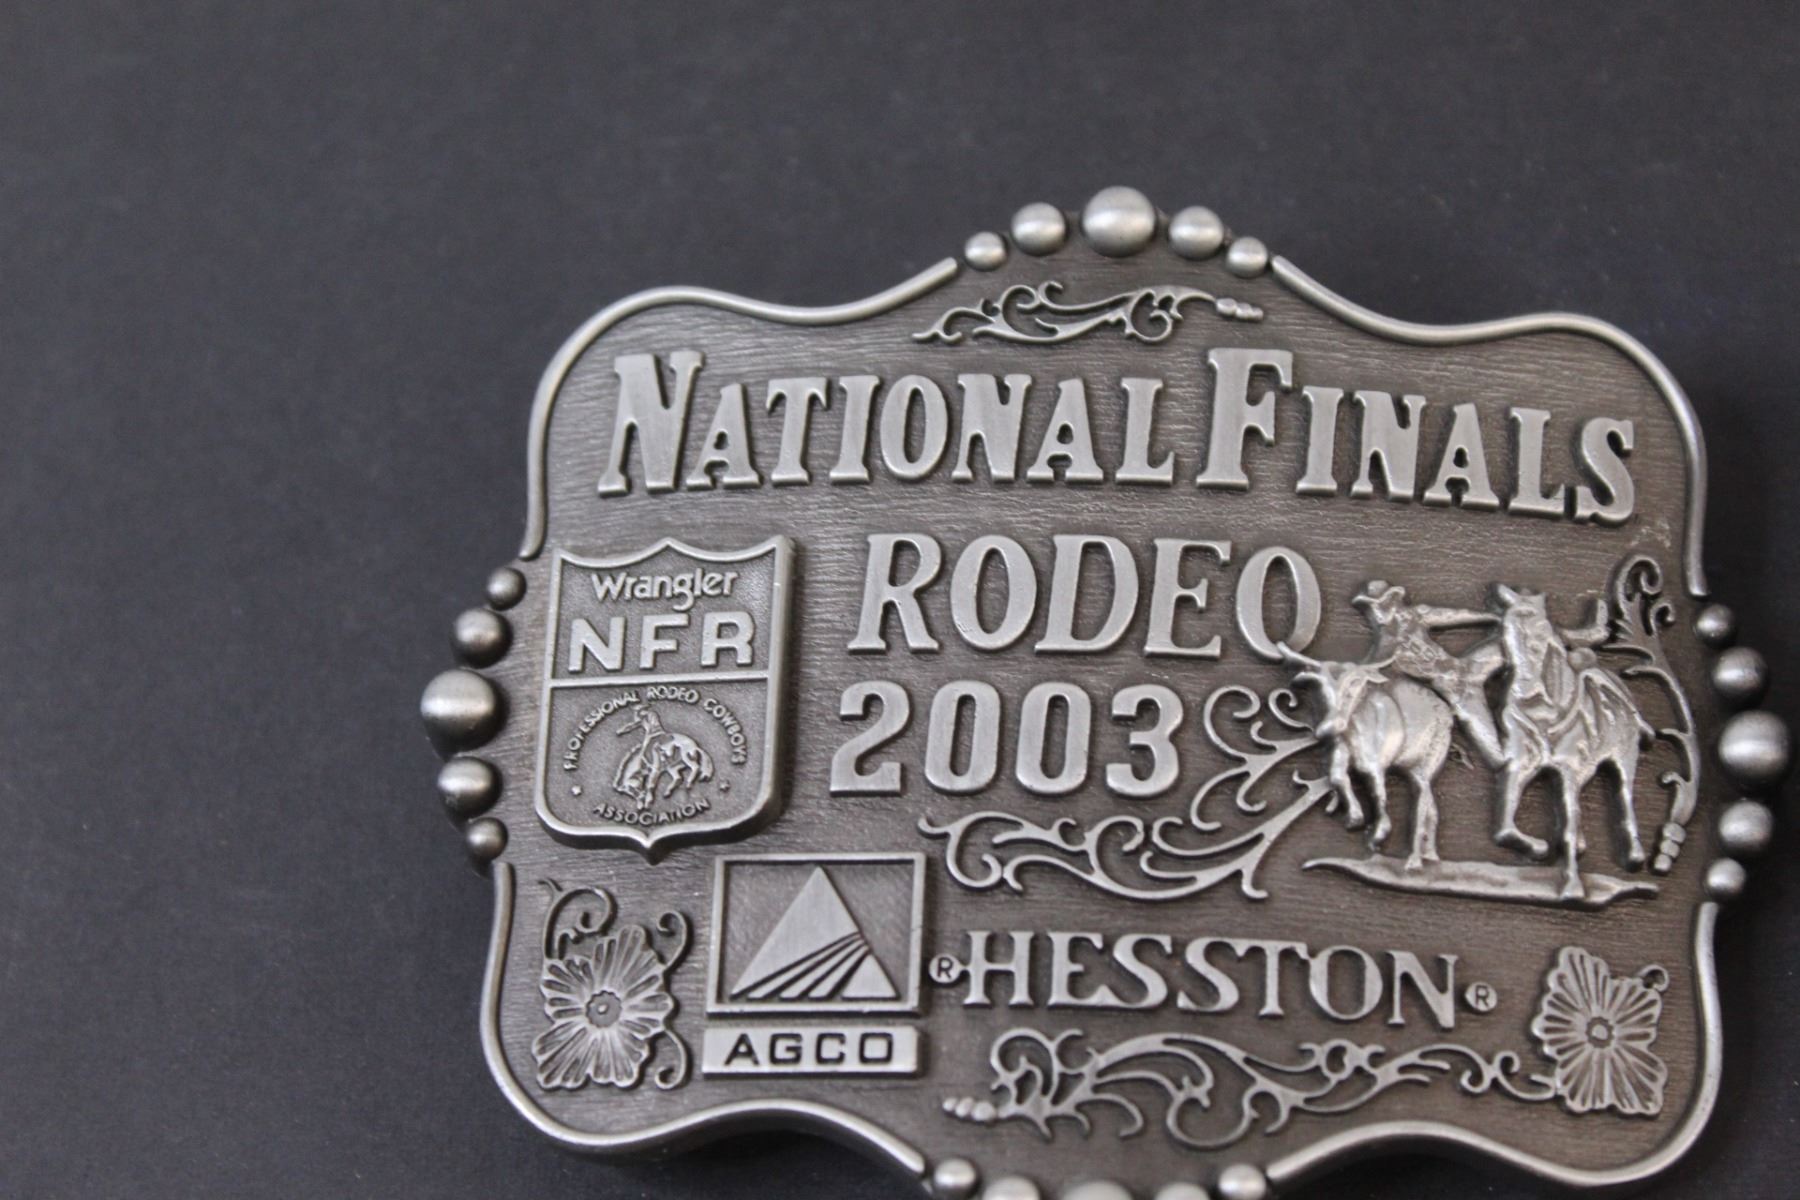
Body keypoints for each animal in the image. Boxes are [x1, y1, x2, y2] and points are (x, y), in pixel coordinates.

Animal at [1279, 645, 1458, 871]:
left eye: (1356, 682)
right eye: (1319, 684)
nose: (1329, 727)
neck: (1356, 723)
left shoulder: (1374, 763)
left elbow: (1377, 791)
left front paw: (1380, 832)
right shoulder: (1340, 750)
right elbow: (1338, 777)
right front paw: (1355, 816)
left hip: (1425, 767)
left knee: (1421, 803)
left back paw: (1414, 859)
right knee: (1433, 809)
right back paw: (1431, 856)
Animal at [1491, 585, 1654, 899]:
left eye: (1543, 631)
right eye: (1506, 630)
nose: (1525, 690)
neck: (1544, 715)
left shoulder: (1569, 769)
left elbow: (1567, 825)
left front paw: (1573, 887)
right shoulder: (1521, 762)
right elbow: (1505, 821)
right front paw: (1536, 846)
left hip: (1625, 758)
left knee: (1624, 796)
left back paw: (1634, 854)